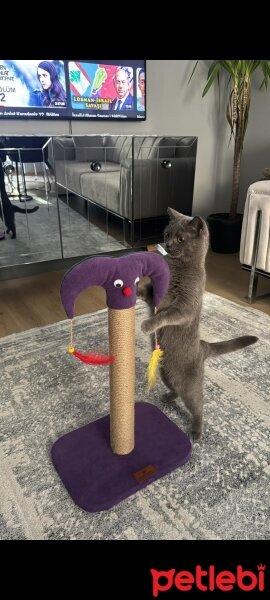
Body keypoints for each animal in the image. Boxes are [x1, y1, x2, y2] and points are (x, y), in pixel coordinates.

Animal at [139, 210, 258, 440]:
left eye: (181, 239)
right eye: (167, 234)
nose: (167, 245)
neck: (177, 268)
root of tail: (203, 346)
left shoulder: (183, 308)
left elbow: (165, 315)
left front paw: (148, 325)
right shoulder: (153, 297)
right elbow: (146, 292)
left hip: (190, 385)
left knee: (197, 405)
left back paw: (196, 431)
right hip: (166, 373)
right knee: (175, 389)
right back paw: (168, 397)